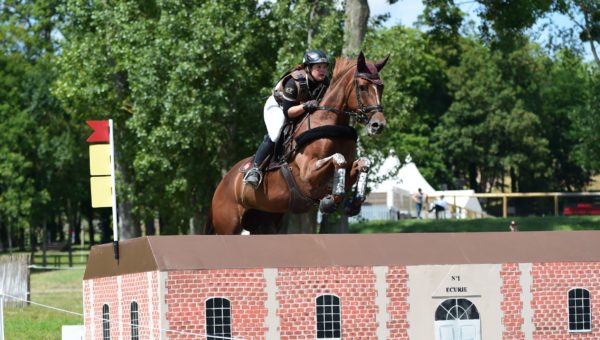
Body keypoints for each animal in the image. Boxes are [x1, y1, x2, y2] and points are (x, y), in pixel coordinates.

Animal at [207, 52, 390, 234]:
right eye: (362, 87)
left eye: (381, 87)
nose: (378, 125)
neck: (329, 122)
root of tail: (222, 183)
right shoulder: (307, 174)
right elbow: (339, 158)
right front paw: (329, 201)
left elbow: (363, 162)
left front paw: (353, 203)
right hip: (228, 225)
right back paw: (253, 175)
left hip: (265, 221)